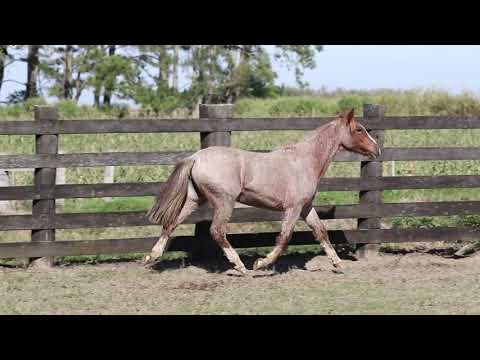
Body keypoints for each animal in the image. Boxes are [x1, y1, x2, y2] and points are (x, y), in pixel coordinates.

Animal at [144, 108, 380, 274]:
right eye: (359, 129)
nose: (377, 149)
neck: (304, 161)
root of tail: (196, 157)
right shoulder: (293, 208)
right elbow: (284, 238)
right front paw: (261, 263)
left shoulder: (306, 207)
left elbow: (321, 231)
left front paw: (338, 263)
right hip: (224, 201)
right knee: (217, 231)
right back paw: (240, 266)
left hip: (195, 199)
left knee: (171, 222)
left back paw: (151, 257)